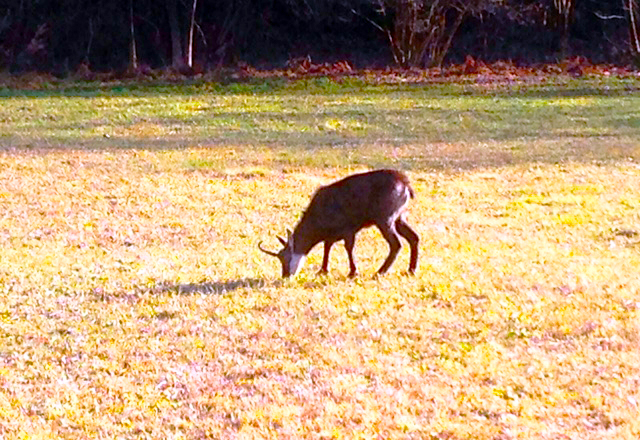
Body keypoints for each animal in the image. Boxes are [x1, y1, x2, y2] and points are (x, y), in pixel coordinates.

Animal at [258, 169, 419, 278]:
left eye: (285, 258)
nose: (285, 275)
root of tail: (405, 185)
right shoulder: (332, 234)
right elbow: (327, 246)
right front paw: (323, 270)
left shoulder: (349, 228)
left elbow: (348, 248)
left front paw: (353, 272)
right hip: (400, 217)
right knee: (414, 237)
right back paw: (411, 270)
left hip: (385, 218)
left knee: (396, 243)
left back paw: (380, 272)